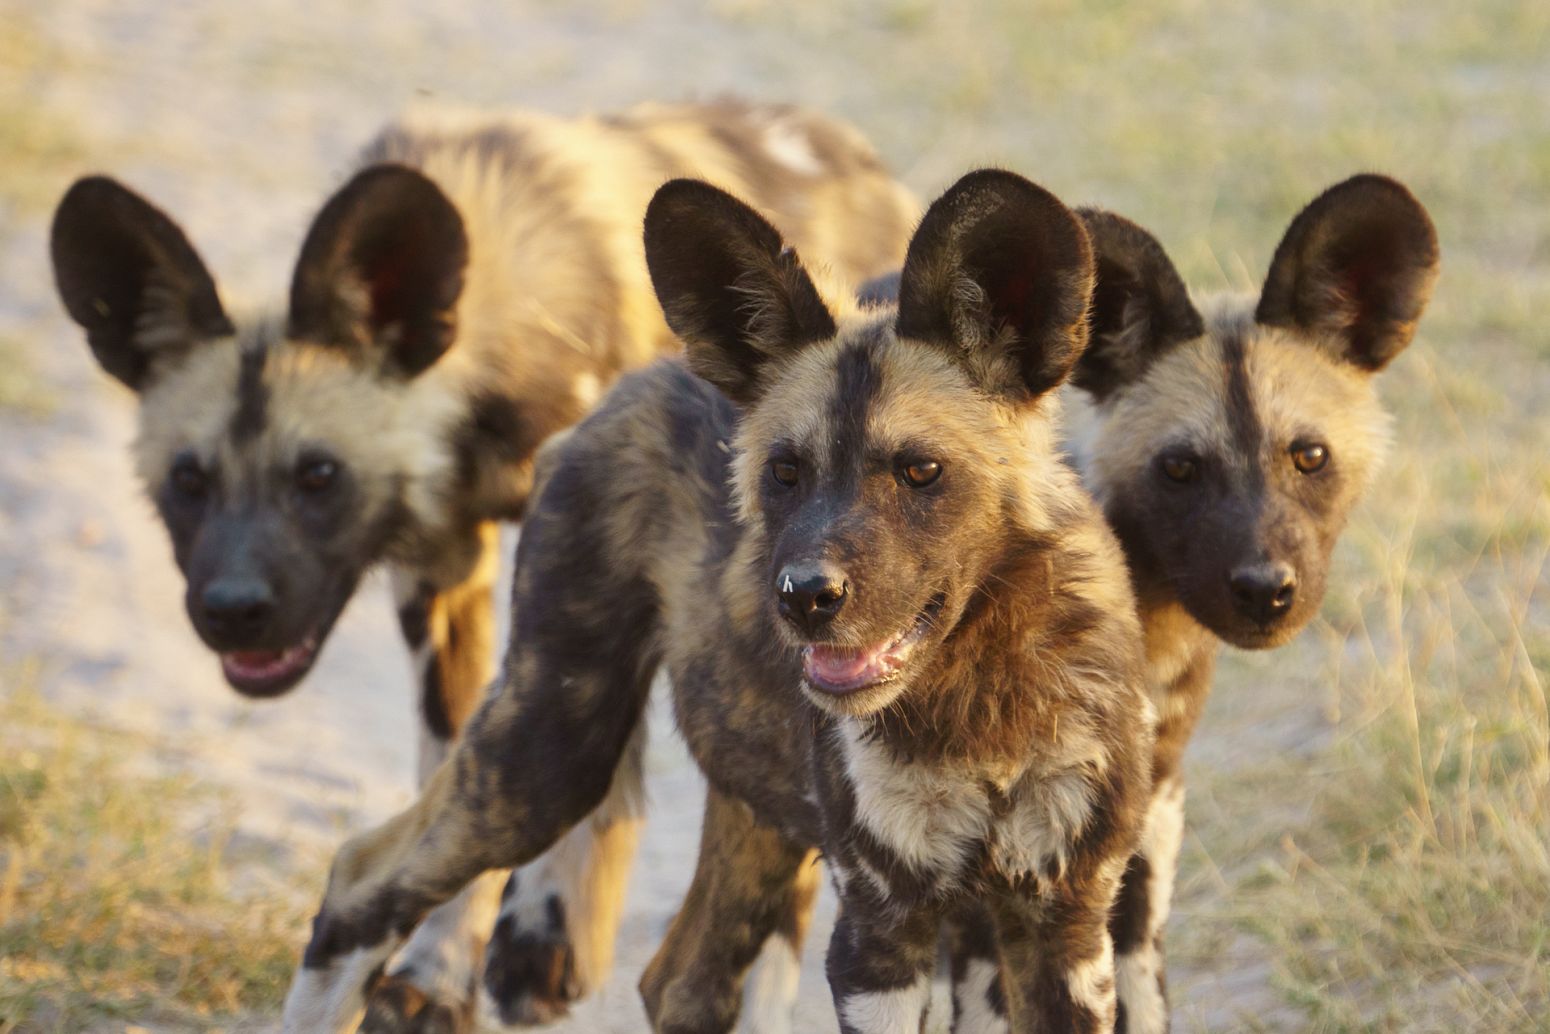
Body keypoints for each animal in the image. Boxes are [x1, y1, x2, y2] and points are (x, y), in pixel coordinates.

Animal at [45, 103, 917, 1034]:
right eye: (188, 480)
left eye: (318, 476)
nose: (234, 611)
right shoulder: (443, 574)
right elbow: (448, 766)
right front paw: (439, 971)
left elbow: (602, 792)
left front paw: (539, 935)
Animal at [279, 172, 1159, 1034]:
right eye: (785, 472)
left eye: (920, 472)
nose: (806, 597)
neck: (982, 698)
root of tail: (641, 375)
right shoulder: (879, 929)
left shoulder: (1065, 934)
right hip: (548, 755)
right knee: (363, 882)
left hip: (753, 813)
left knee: (680, 983)